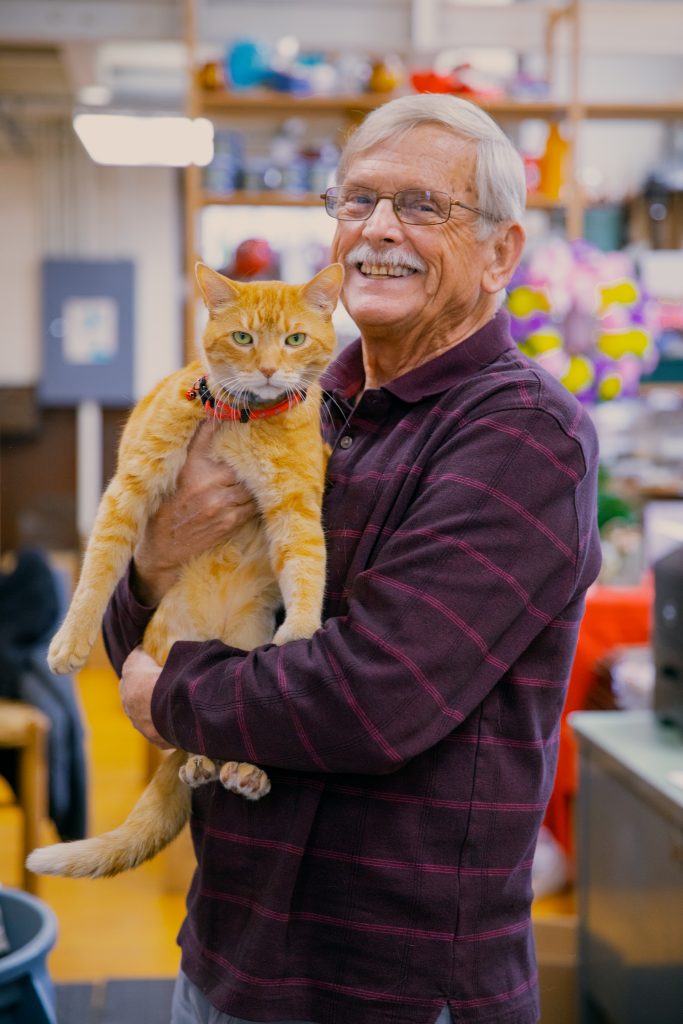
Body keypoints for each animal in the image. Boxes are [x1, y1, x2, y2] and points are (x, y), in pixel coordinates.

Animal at [27, 262, 344, 880]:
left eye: (295, 339)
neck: (245, 419)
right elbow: (97, 569)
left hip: (242, 650)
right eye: (243, 338)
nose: (268, 369)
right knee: (179, 723)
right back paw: (204, 764)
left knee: (218, 717)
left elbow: (307, 568)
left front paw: (300, 629)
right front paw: (70, 643)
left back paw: (242, 769)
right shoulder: (130, 486)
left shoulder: (296, 504)